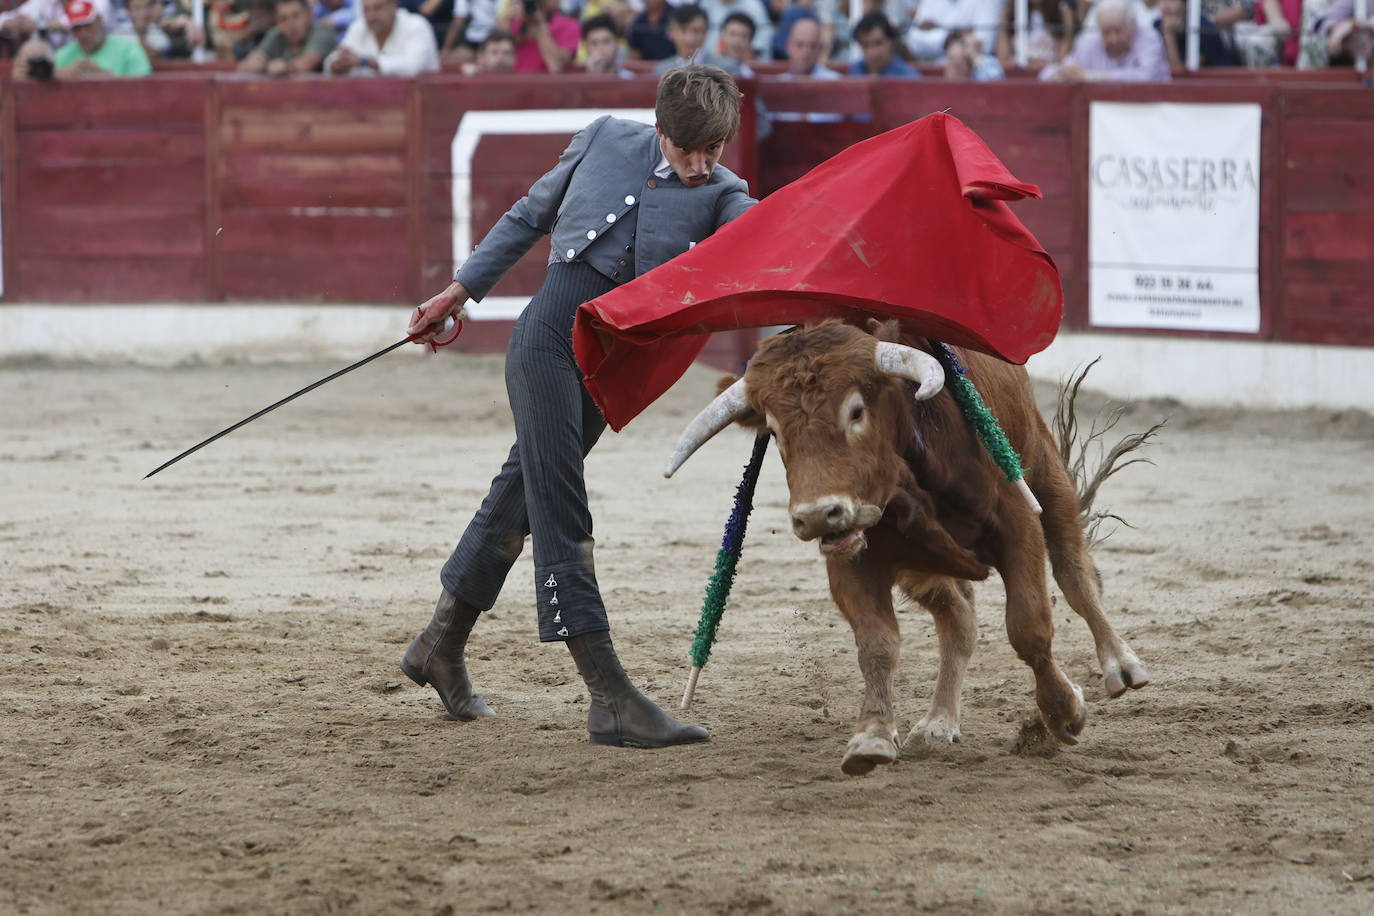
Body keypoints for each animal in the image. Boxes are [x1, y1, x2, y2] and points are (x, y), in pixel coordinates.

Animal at [665, 321, 1148, 774]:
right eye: (774, 430)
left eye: (856, 411)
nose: (818, 515)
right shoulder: (853, 561)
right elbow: (876, 643)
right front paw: (873, 734)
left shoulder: (1018, 525)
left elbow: (1028, 626)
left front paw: (1063, 712)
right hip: (924, 569)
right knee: (958, 618)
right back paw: (939, 720)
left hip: (1046, 473)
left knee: (1075, 575)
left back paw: (1120, 665)